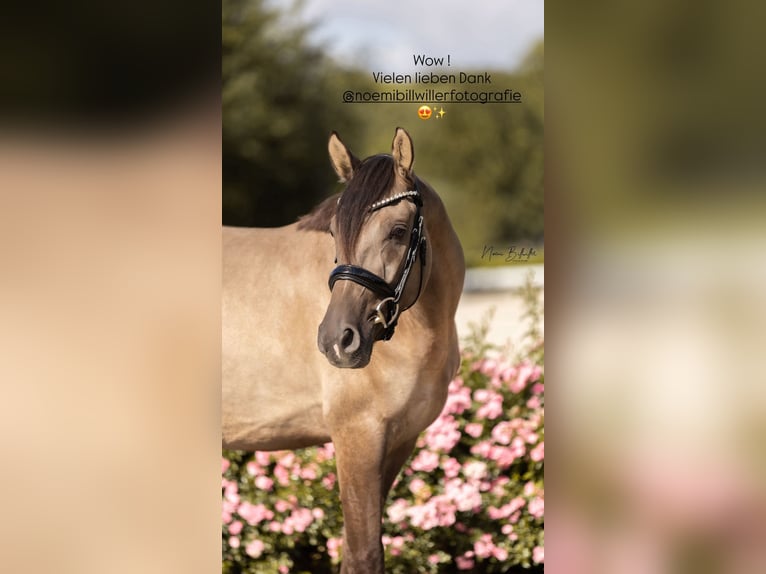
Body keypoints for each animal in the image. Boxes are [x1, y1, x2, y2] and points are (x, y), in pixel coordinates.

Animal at [222, 127, 465, 573]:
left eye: (399, 231)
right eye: (335, 232)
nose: (336, 339)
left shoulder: (399, 440)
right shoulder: (358, 435)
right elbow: (364, 551)